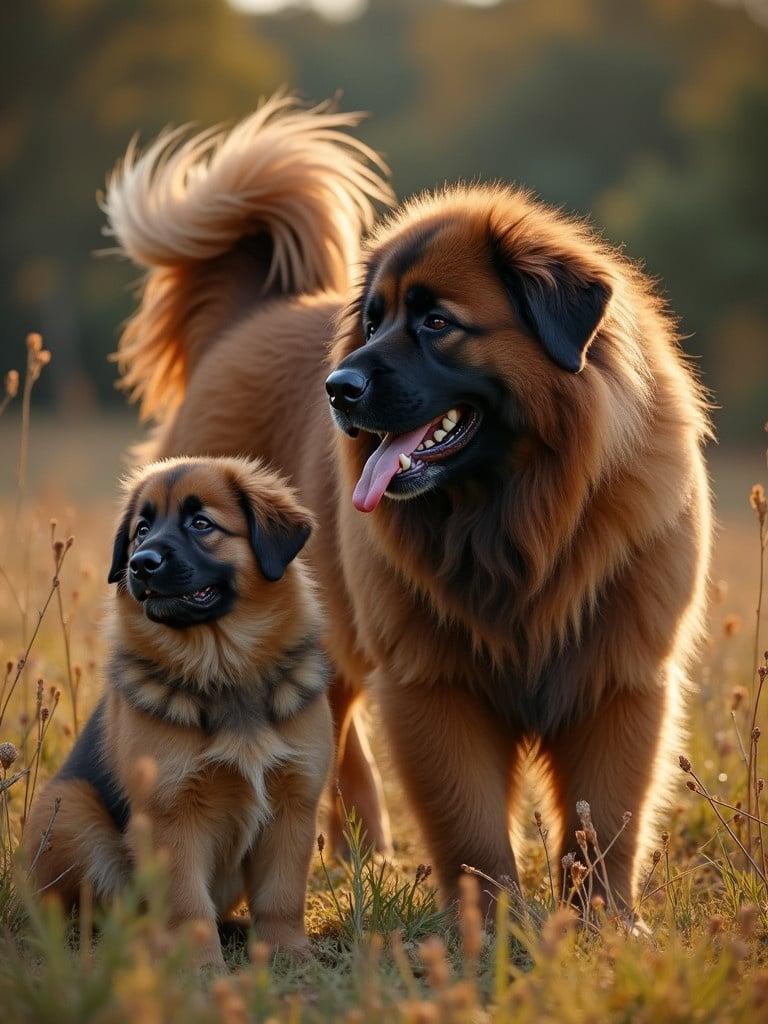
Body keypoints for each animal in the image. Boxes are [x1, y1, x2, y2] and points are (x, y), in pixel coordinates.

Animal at [23, 460, 331, 962]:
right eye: (141, 531)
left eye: (201, 524)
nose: (140, 564)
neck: (223, 666)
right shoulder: (171, 814)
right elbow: (188, 904)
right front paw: (200, 965)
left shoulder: (294, 804)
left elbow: (282, 895)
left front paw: (288, 954)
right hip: (71, 810)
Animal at [105, 97, 712, 913]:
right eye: (373, 320)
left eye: (436, 322)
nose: (338, 389)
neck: (516, 517)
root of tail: (246, 317)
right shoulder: (433, 682)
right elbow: (472, 824)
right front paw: (494, 919)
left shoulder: (619, 676)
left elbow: (605, 821)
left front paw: (603, 924)